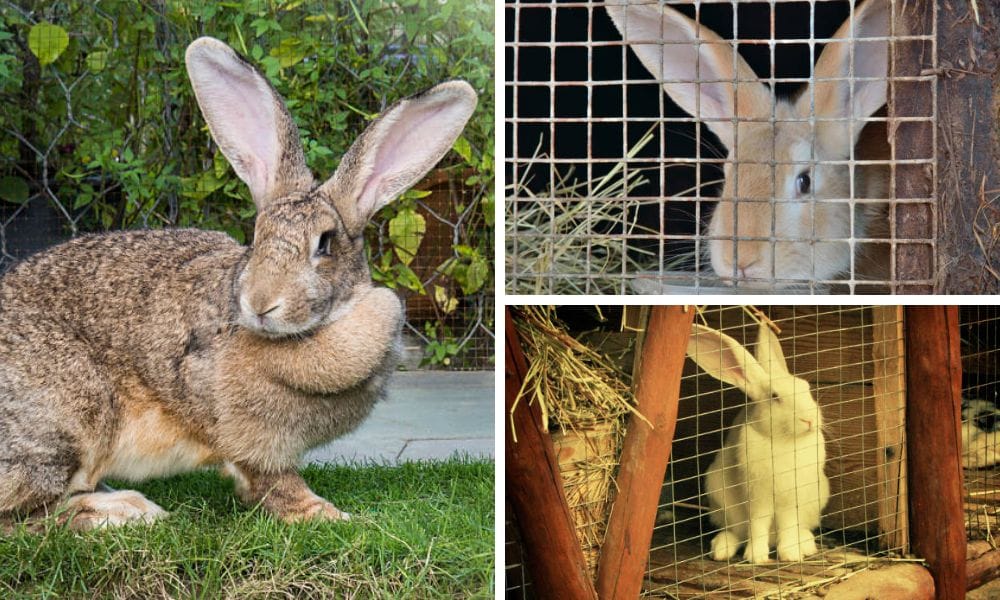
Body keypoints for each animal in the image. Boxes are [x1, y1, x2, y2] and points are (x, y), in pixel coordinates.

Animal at [0, 37, 477, 530]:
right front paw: (329, 516)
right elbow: (273, 482)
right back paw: (123, 511)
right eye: (257, 236)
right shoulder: (248, 436)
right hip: (69, 421)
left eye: (324, 244)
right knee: (25, 517)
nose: (260, 303)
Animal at [686, 321, 830, 563]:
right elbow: (757, 524)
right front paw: (757, 558)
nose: (809, 419)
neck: (783, 441)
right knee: (737, 531)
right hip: (720, 498)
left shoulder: (791, 498)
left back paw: (806, 544)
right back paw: (721, 549)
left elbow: (789, 525)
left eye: (806, 388)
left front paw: (790, 555)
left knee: (800, 527)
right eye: (775, 396)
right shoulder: (756, 497)